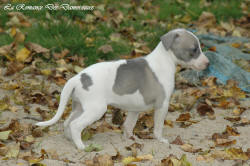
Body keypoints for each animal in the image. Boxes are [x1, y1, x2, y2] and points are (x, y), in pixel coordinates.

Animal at [36, 28, 210, 149]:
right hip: (96, 109)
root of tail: (77, 78)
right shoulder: (162, 105)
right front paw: (161, 140)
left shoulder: (134, 108)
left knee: (67, 122)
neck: (164, 60)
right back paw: (81, 146)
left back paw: (70, 140)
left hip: (80, 106)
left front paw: (130, 139)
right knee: (75, 125)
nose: (208, 63)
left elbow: (129, 125)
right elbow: (158, 127)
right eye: (194, 50)